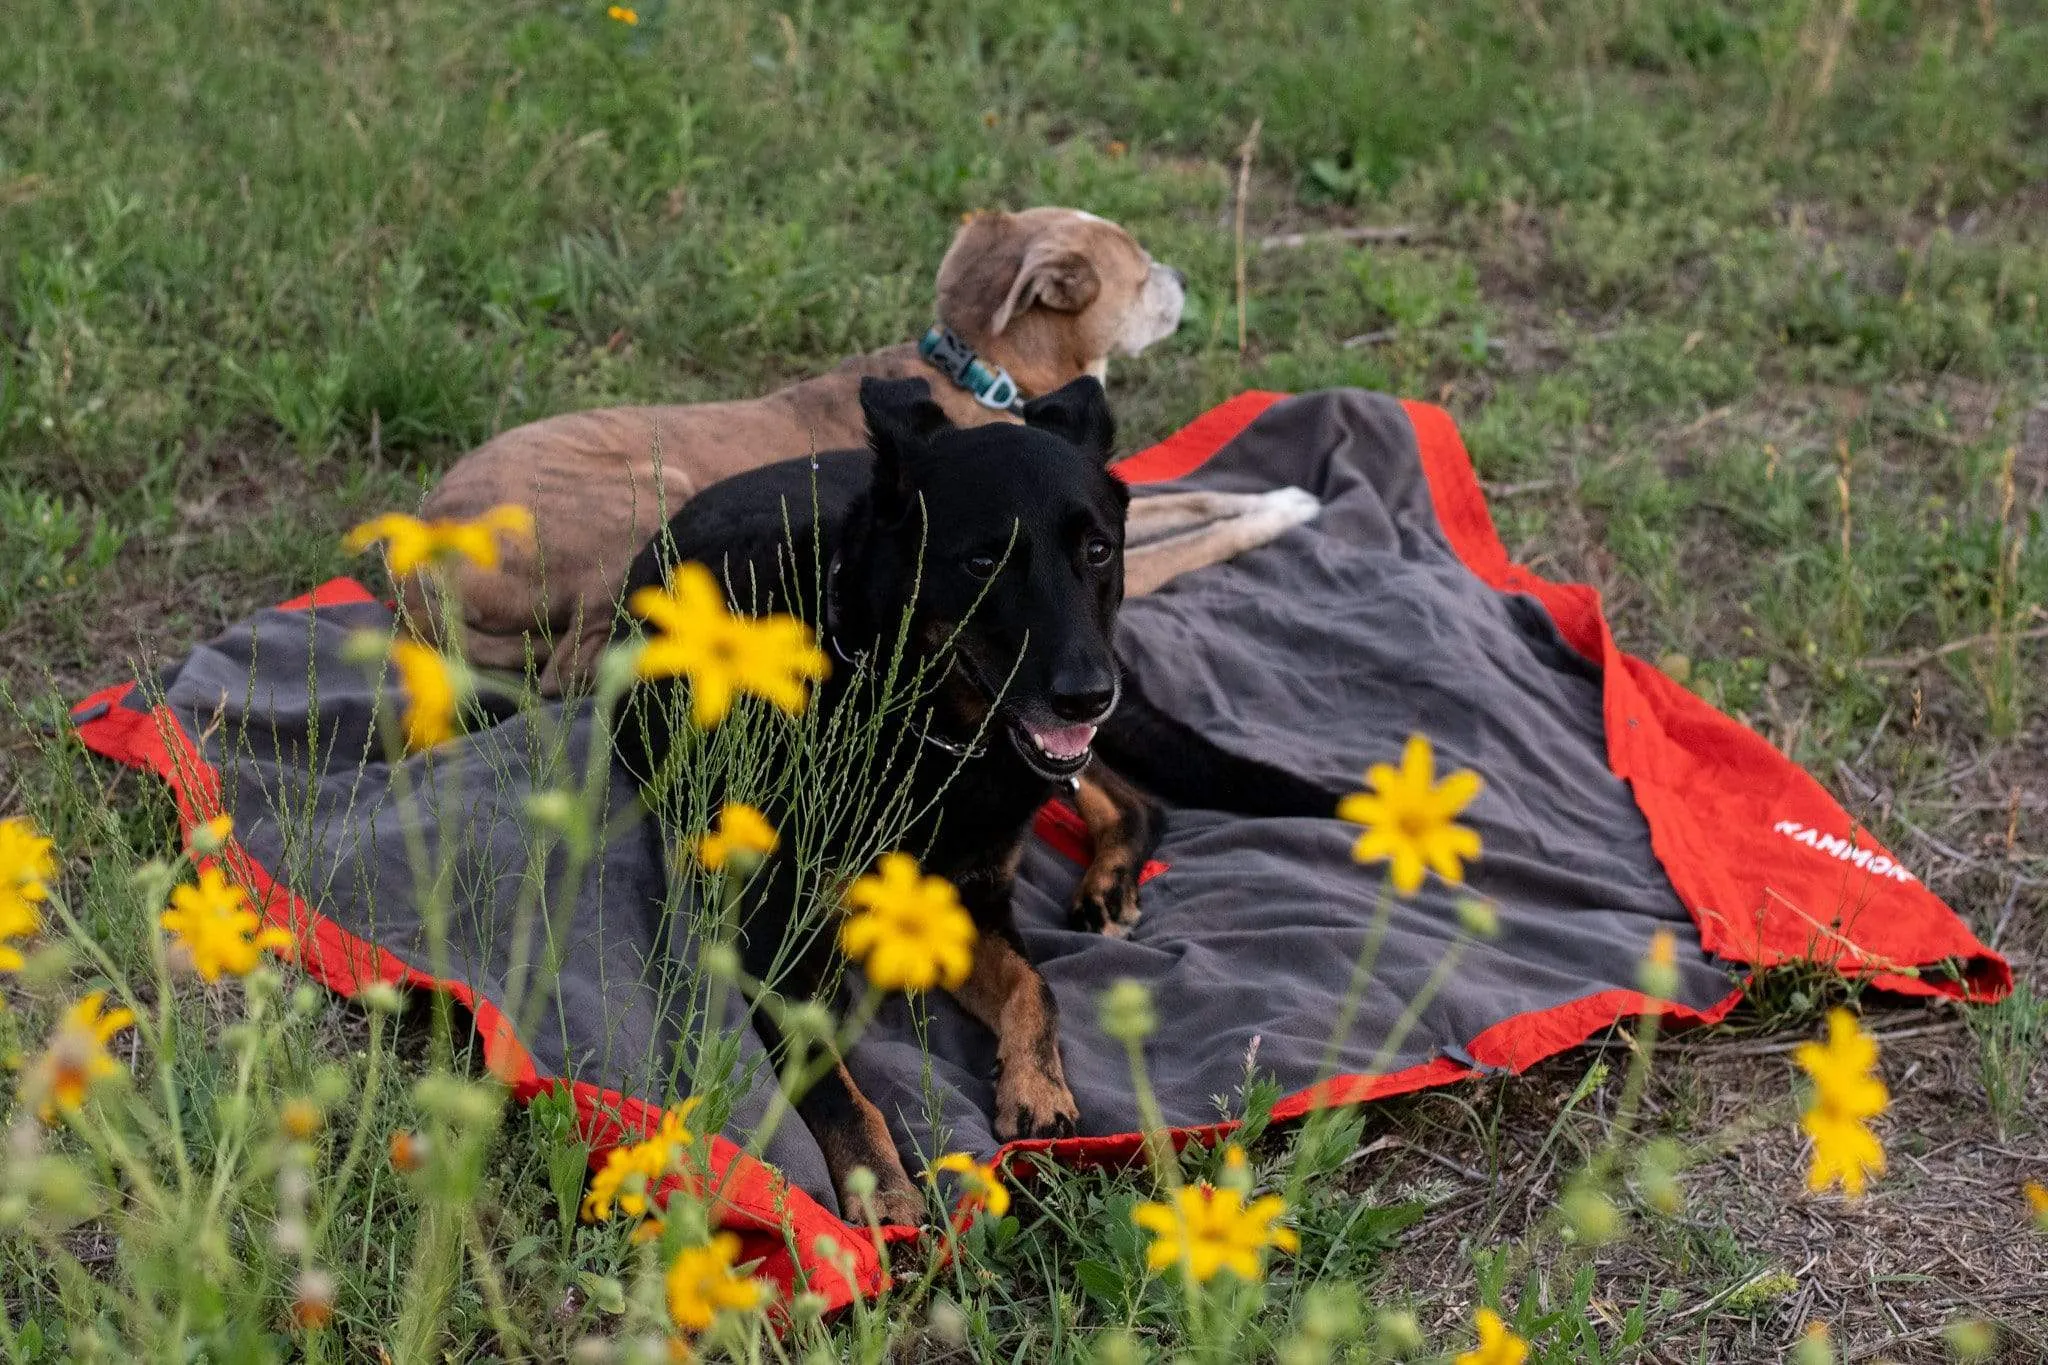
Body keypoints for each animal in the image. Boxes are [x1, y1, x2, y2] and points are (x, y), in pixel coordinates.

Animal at [407, 208, 1318, 699]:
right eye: (1138, 271)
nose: (1184, 276)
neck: (985, 372)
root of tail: (413, 554)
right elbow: (1200, 537)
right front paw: (1279, 516)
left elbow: (1191, 495)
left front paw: (1281, 493)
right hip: (647, 493)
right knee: (571, 669)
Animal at [614, 376, 1335, 1227]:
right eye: (984, 558)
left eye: (1097, 549)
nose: (1089, 693)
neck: (917, 727)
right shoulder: (776, 943)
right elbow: (830, 1076)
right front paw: (877, 1180)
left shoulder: (971, 898)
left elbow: (1036, 984)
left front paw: (1038, 1087)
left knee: (1125, 795)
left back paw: (1109, 880)